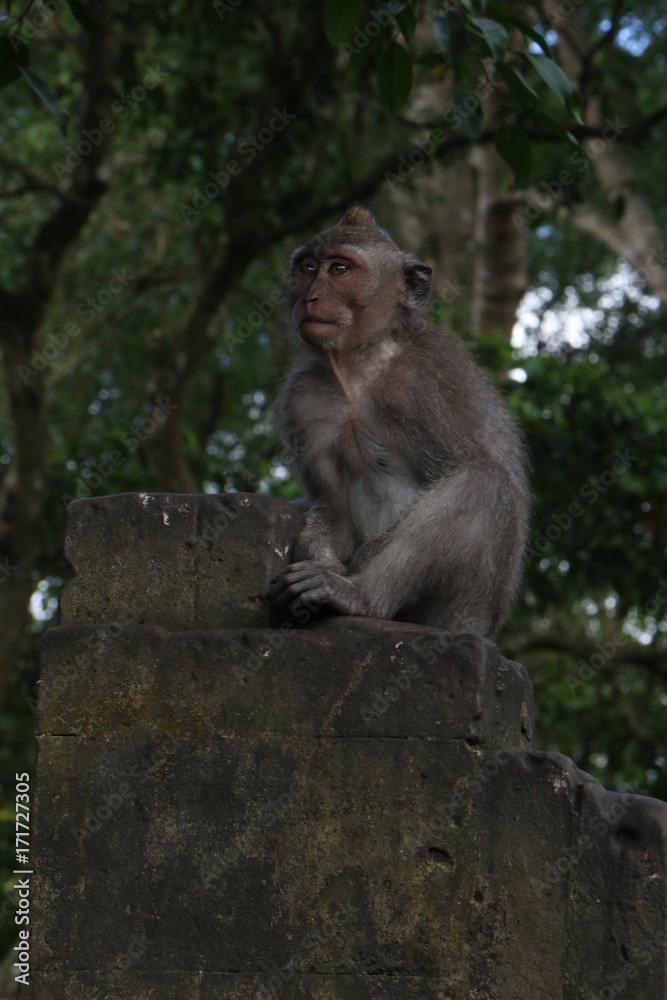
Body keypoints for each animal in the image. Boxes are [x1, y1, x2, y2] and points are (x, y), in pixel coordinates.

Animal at [268, 207, 528, 636]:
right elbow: (334, 508)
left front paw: (348, 570)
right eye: (307, 268)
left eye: (339, 269)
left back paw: (360, 595)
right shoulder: (301, 400)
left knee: (484, 482)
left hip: (466, 607)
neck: (360, 368)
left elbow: (473, 466)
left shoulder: (427, 380)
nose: (310, 296)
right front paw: (319, 555)